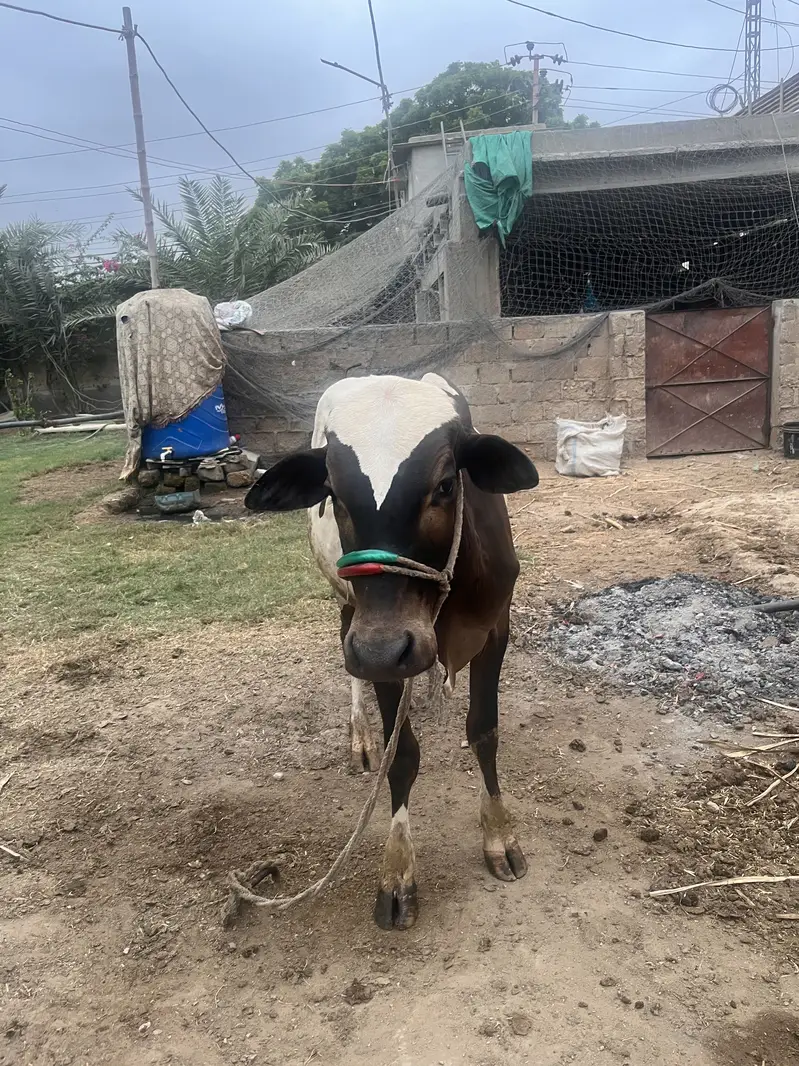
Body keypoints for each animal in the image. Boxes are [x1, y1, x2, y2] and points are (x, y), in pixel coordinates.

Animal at [245, 373, 538, 930]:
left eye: (446, 485)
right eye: (333, 493)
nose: (383, 647)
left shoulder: (495, 626)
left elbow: (484, 732)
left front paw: (499, 833)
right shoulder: (378, 644)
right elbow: (400, 756)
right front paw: (397, 871)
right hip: (347, 605)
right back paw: (360, 737)